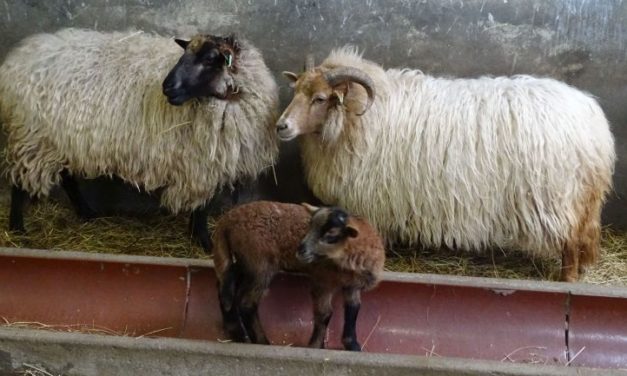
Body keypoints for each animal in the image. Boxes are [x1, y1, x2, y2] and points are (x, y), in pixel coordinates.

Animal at [0, 27, 280, 248]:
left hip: (60, 139)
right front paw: (204, 243)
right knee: (20, 183)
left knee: (67, 177)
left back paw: (86, 212)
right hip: (33, 138)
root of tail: (16, 61)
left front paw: (196, 236)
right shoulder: (200, 163)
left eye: (211, 58)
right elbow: (202, 207)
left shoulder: (210, 163)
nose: (167, 87)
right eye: (184, 54)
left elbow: (203, 205)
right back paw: (18, 229)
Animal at [213, 201, 386, 352]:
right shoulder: (322, 280)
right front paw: (316, 346)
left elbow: (353, 310)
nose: (300, 250)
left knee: (227, 284)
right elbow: (325, 313)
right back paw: (262, 341)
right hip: (260, 263)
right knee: (246, 303)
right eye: (310, 226)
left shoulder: (352, 286)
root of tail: (227, 220)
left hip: (246, 260)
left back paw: (236, 331)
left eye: (332, 232)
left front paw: (353, 345)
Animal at [278, 47, 616, 282]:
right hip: (580, 200)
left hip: (558, 199)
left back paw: (566, 280)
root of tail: (592, 119)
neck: (358, 117)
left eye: (321, 98)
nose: (281, 126)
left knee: (569, 244)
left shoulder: (373, 198)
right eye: (297, 91)